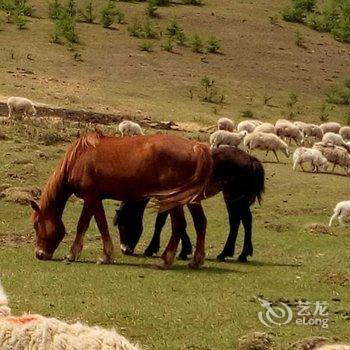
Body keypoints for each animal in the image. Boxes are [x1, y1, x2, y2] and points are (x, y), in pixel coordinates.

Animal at [30, 131, 212, 268]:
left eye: (36, 225)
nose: (39, 254)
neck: (77, 159)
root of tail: (196, 148)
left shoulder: (92, 198)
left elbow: (99, 225)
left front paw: (104, 256)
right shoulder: (91, 199)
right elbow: (84, 225)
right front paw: (74, 253)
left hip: (173, 200)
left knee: (179, 225)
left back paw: (165, 260)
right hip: (190, 199)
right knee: (200, 222)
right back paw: (196, 260)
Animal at [113, 146, 264, 262]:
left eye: (123, 224)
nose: (125, 249)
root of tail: (250, 159)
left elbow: (160, 223)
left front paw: (151, 249)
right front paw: (185, 250)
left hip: (233, 197)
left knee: (239, 221)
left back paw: (231, 254)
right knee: (242, 221)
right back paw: (237, 254)